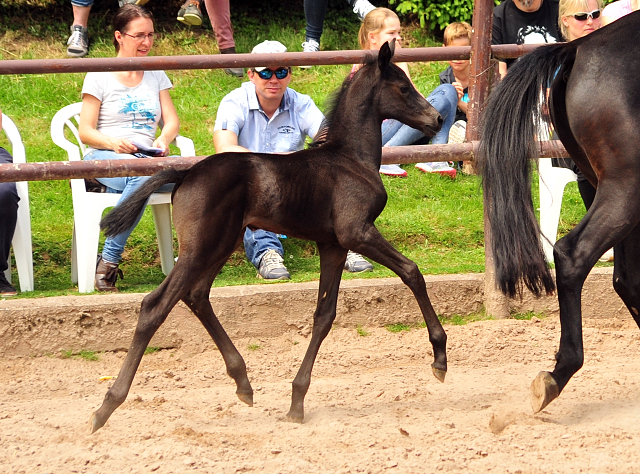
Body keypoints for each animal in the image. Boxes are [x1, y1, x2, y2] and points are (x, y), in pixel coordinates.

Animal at [92, 41, 448, 434]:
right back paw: (106, 406)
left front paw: (297, 401)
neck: (351, 159)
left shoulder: (333, 245)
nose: (437, 120)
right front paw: (440, 358)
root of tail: (184, 174)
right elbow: (412, 272)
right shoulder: (357, 232)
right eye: (402, 87)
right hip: (201, 247)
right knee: (155, 306)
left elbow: (324, 315)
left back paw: (243, 383)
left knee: (197, 296)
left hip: (221, 244)